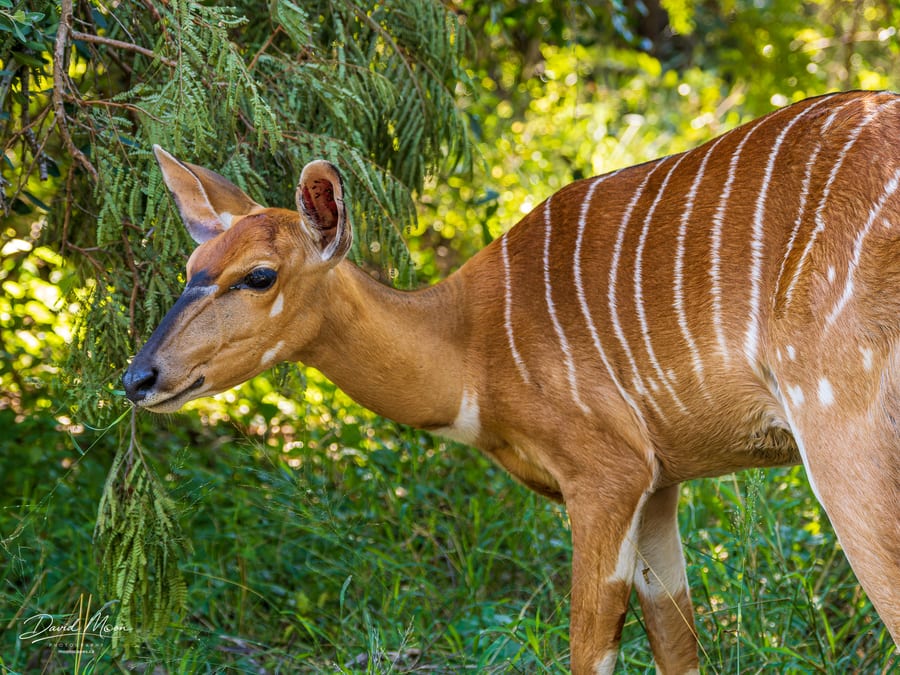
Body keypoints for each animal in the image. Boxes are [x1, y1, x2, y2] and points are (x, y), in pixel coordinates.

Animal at [124, 90, 900, 673]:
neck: (471, 347)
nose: (139, 376)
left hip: (841, 430)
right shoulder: (660, 482)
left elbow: (589, 651)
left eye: (259, 275)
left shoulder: (606, 473)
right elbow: (679, 645)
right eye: (192, 265)